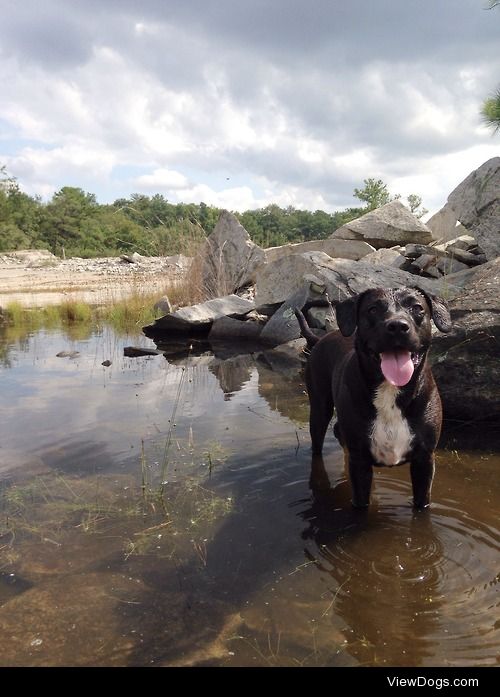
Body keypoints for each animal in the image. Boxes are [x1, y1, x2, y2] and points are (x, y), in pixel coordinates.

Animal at [296, 286, 454, 508]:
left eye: (417, 307)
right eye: (372, 309)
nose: (397, 326)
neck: (390, 390)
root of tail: (320, 338)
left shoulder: (424, 460)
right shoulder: (360, 462)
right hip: (319, 409)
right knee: (317, 446)